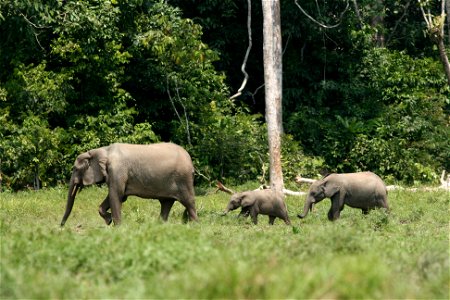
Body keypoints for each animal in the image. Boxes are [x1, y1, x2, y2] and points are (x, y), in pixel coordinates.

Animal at [60, 142, 198, 225]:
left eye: (75, 169)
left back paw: (194, 226)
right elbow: (118, 196)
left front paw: (117, 228)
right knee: (166, 203)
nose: (61, 227)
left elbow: (116, 195)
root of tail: (189, 158)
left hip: (183, 179)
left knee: (189, 202)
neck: (103, 150)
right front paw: (109, 220)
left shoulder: (117, 170)